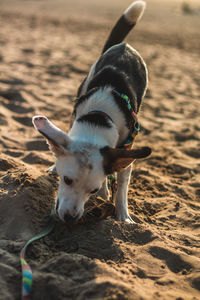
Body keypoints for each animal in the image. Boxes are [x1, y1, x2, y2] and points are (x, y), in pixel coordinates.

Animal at [32, 0, 151, 223]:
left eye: (92, 191)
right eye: (66, 180)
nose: (70, 218)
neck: (100, 117)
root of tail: (124, 46)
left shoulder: (125, 150)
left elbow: (121, 187)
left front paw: (123, 215)